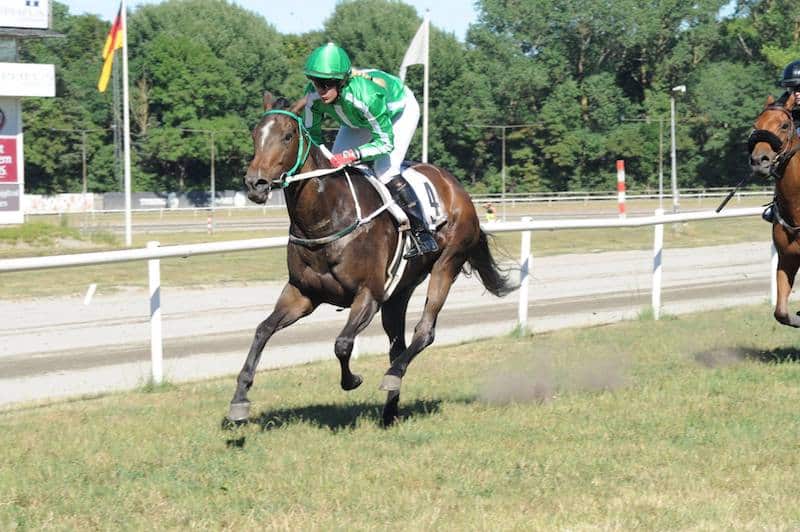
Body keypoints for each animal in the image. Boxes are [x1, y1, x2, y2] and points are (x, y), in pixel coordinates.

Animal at [227, 94, 512, 428]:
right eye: (255, 134)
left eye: (287, 136)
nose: (255, 184)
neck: (326, 216)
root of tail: (456, 187)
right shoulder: (302, 294)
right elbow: (262, 330)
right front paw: (239, 399)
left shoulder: (368, 294)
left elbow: (342, 343)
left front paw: (352, 380)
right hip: (400, 291)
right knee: (397, 344)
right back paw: (389, 411)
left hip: (447, 263)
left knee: (425, 331)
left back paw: (392, 376)